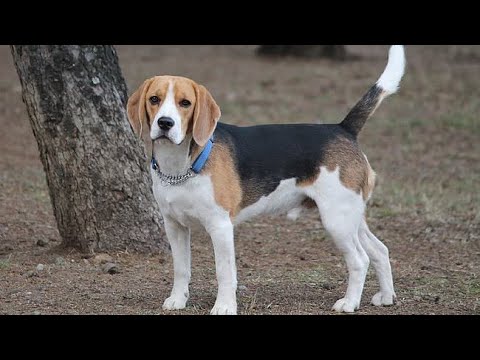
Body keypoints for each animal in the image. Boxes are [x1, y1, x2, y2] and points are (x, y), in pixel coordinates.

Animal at [126, 45, 404, 316]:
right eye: (154, 99)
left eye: (185, 103)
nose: (165, 123)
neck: (180, 167)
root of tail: (343, 128)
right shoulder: (174, 226)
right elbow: (181, 268)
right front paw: (177, 299)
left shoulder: (220, 226)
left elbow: (224, 272)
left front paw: (224, 306)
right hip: (351, 216)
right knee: (380, 250)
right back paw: (386, 297)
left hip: (337, 219)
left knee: (360, 260)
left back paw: (349, 303)